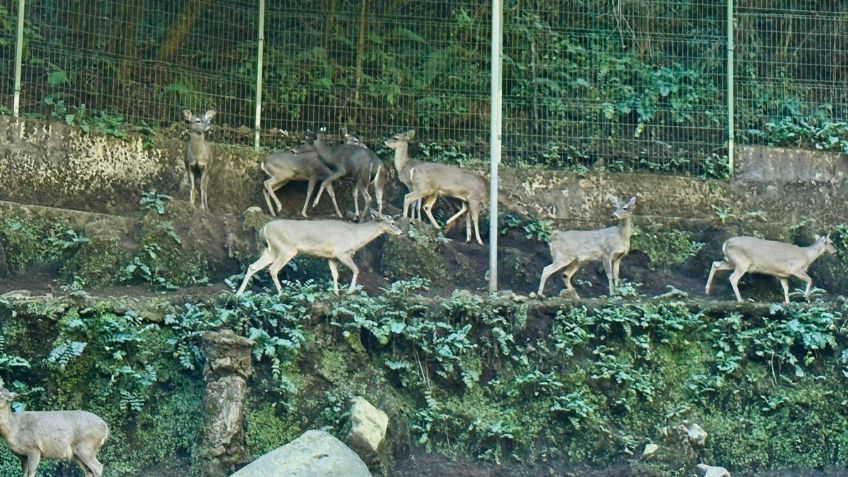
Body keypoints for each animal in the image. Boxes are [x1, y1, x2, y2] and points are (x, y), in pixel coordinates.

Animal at [235, 209, 400, 294]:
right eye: (392, 222)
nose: (400, 231)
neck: (355, 237)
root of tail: (263, 229)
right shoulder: (342, 252)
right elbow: (356, 269)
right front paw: (350, 291)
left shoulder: (332, 257)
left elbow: (335, 275)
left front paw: (336, 293)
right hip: (286, 248)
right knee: (273, 269)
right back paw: (281, 293)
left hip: (271, 250)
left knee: (253, 266)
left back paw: (239, 293)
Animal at [704, 233, 836, 304]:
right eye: (831, 242)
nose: (836, 251)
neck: (807, 257)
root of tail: (725, 243)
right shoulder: (796, 269)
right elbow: (810, 280)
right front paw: (806, 298)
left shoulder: (783, 275)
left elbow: (786, 288)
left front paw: (787, 302)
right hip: (742, 262)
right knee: (733, 278)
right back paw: (740, 300)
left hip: (731, 261)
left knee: (715, 264)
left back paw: (707, 290)